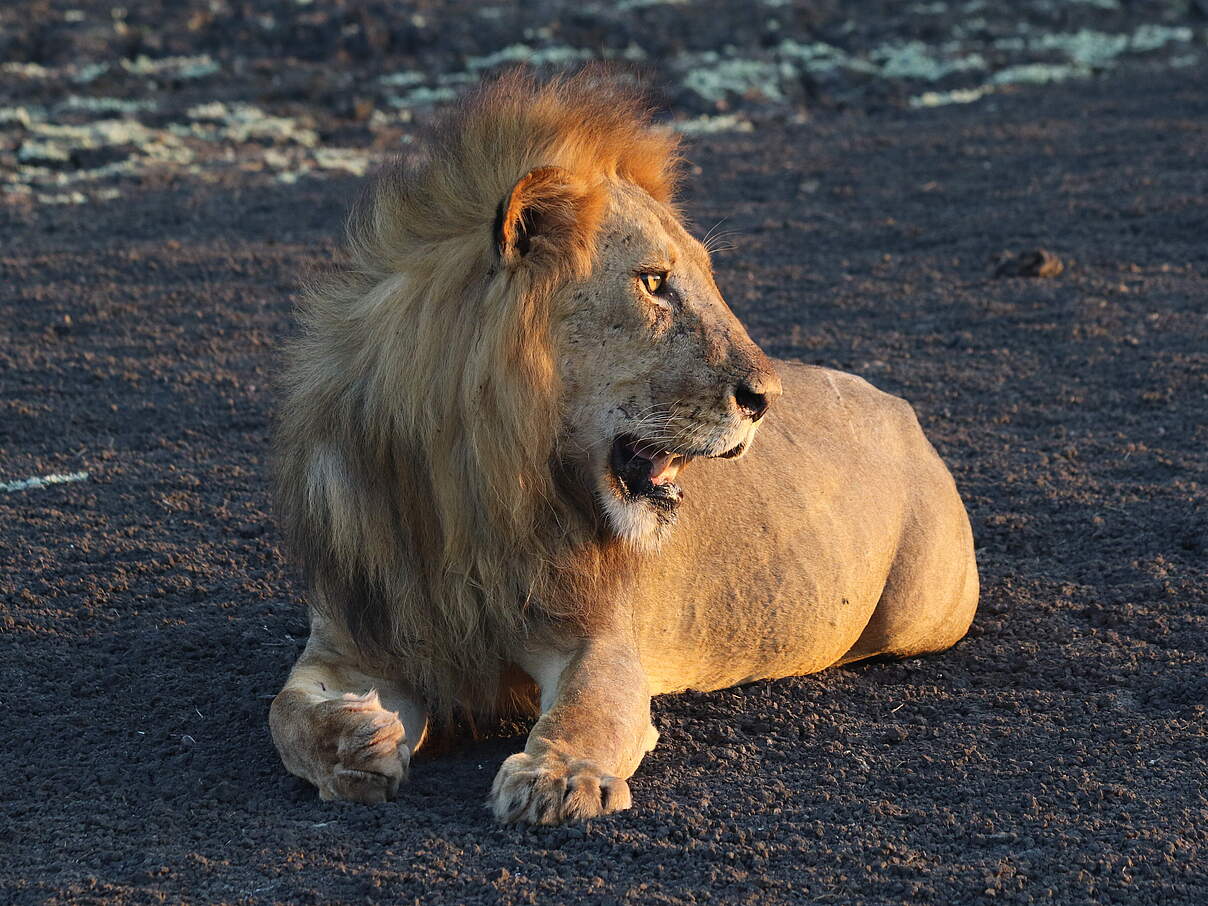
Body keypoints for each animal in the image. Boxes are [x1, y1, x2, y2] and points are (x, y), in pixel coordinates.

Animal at [269, 67, 976, 826]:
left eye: (704, 277)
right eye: (654, 282)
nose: (767, 397)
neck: (473, 491)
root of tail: (898, 404)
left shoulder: (600, 636)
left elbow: (590, 712)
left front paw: (557, 778)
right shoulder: (351, 635)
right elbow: (285, 713)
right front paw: (358, 740)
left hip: (925, 612)